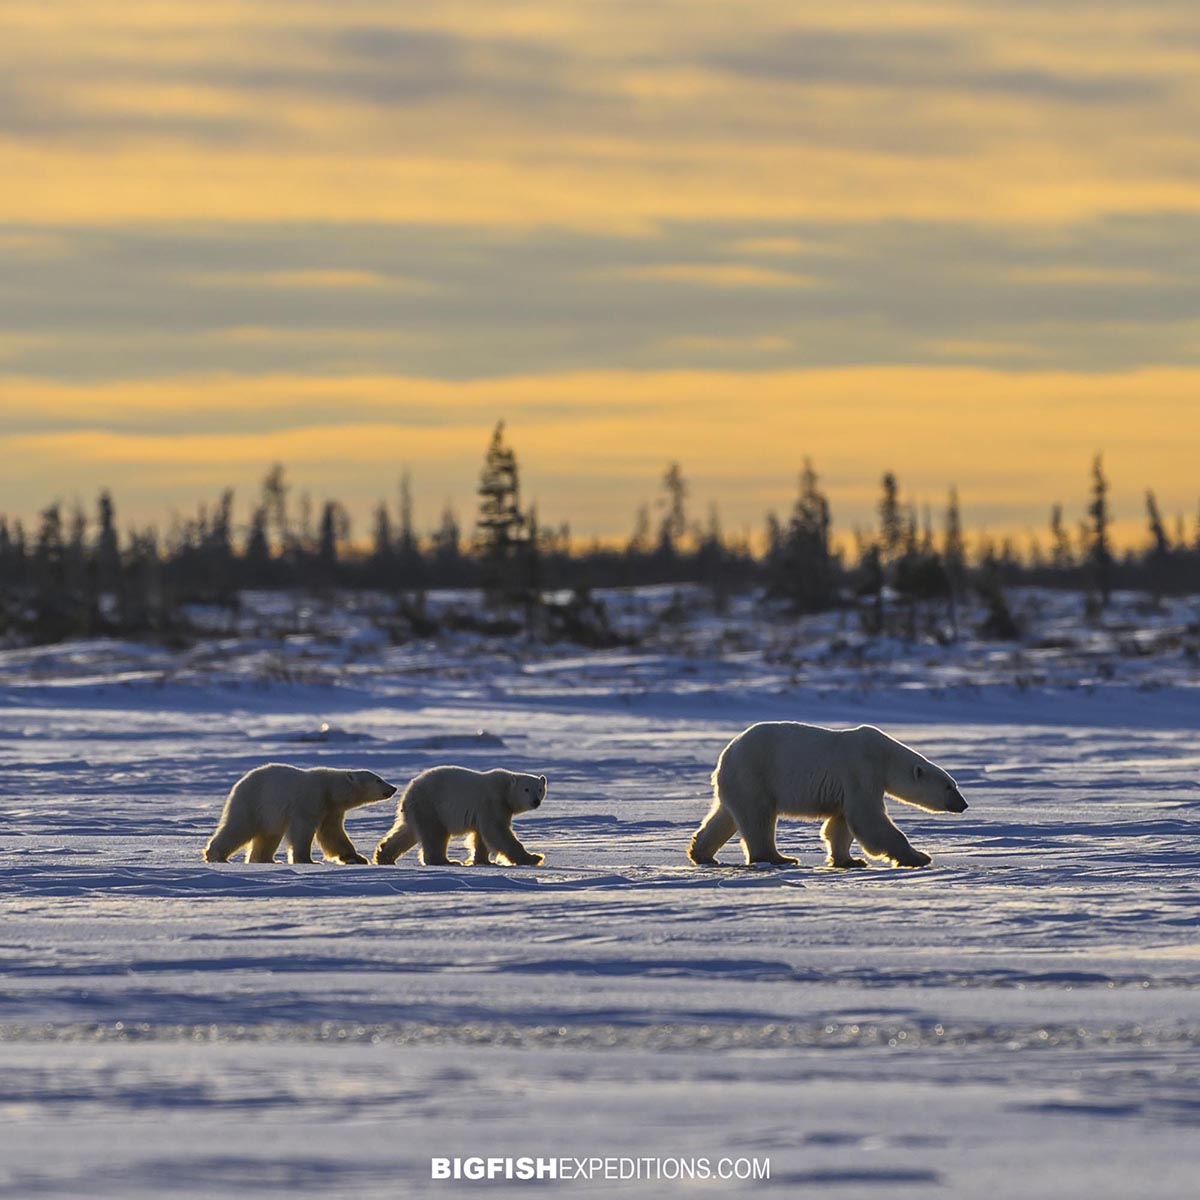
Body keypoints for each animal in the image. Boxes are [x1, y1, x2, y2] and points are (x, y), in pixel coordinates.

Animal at [203, 764, 397, 865]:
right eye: (378, 780)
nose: (393, 788)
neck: (331, 790)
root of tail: (239, 783)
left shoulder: (331, 809)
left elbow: (332, 833)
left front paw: (356, 858)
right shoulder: (311, 799)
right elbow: (303, 829)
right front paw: (308, 860)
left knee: (268, 836)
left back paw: (268, 860)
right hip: (253, 802)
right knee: (238, 827)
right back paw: (216, 856)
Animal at [373, 766, 547, 867]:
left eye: (539, 789)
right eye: (526, 789)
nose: (535, 801)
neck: (505, 789)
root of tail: (407, 793)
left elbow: (481, 836)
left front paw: (483, 861)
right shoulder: (493, 802)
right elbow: (497, 832)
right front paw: (534, 858)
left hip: (418, 809)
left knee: (407, 832)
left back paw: (384, 856)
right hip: (431, 805)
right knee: (435, 834)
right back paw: (446, 861)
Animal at [687, 722, 967, 869]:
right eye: (949, 787)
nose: (963, 804)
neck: (884, 756)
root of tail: (725, 756)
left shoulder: (848, 786)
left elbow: (841, 823)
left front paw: (850, 860)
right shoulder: (861, 771)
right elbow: (869, 819)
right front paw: (918, 857)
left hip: (737, 784)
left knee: (726, 817)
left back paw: (700, 853)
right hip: (755, 776)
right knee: (758, 819)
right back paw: (779, 858)